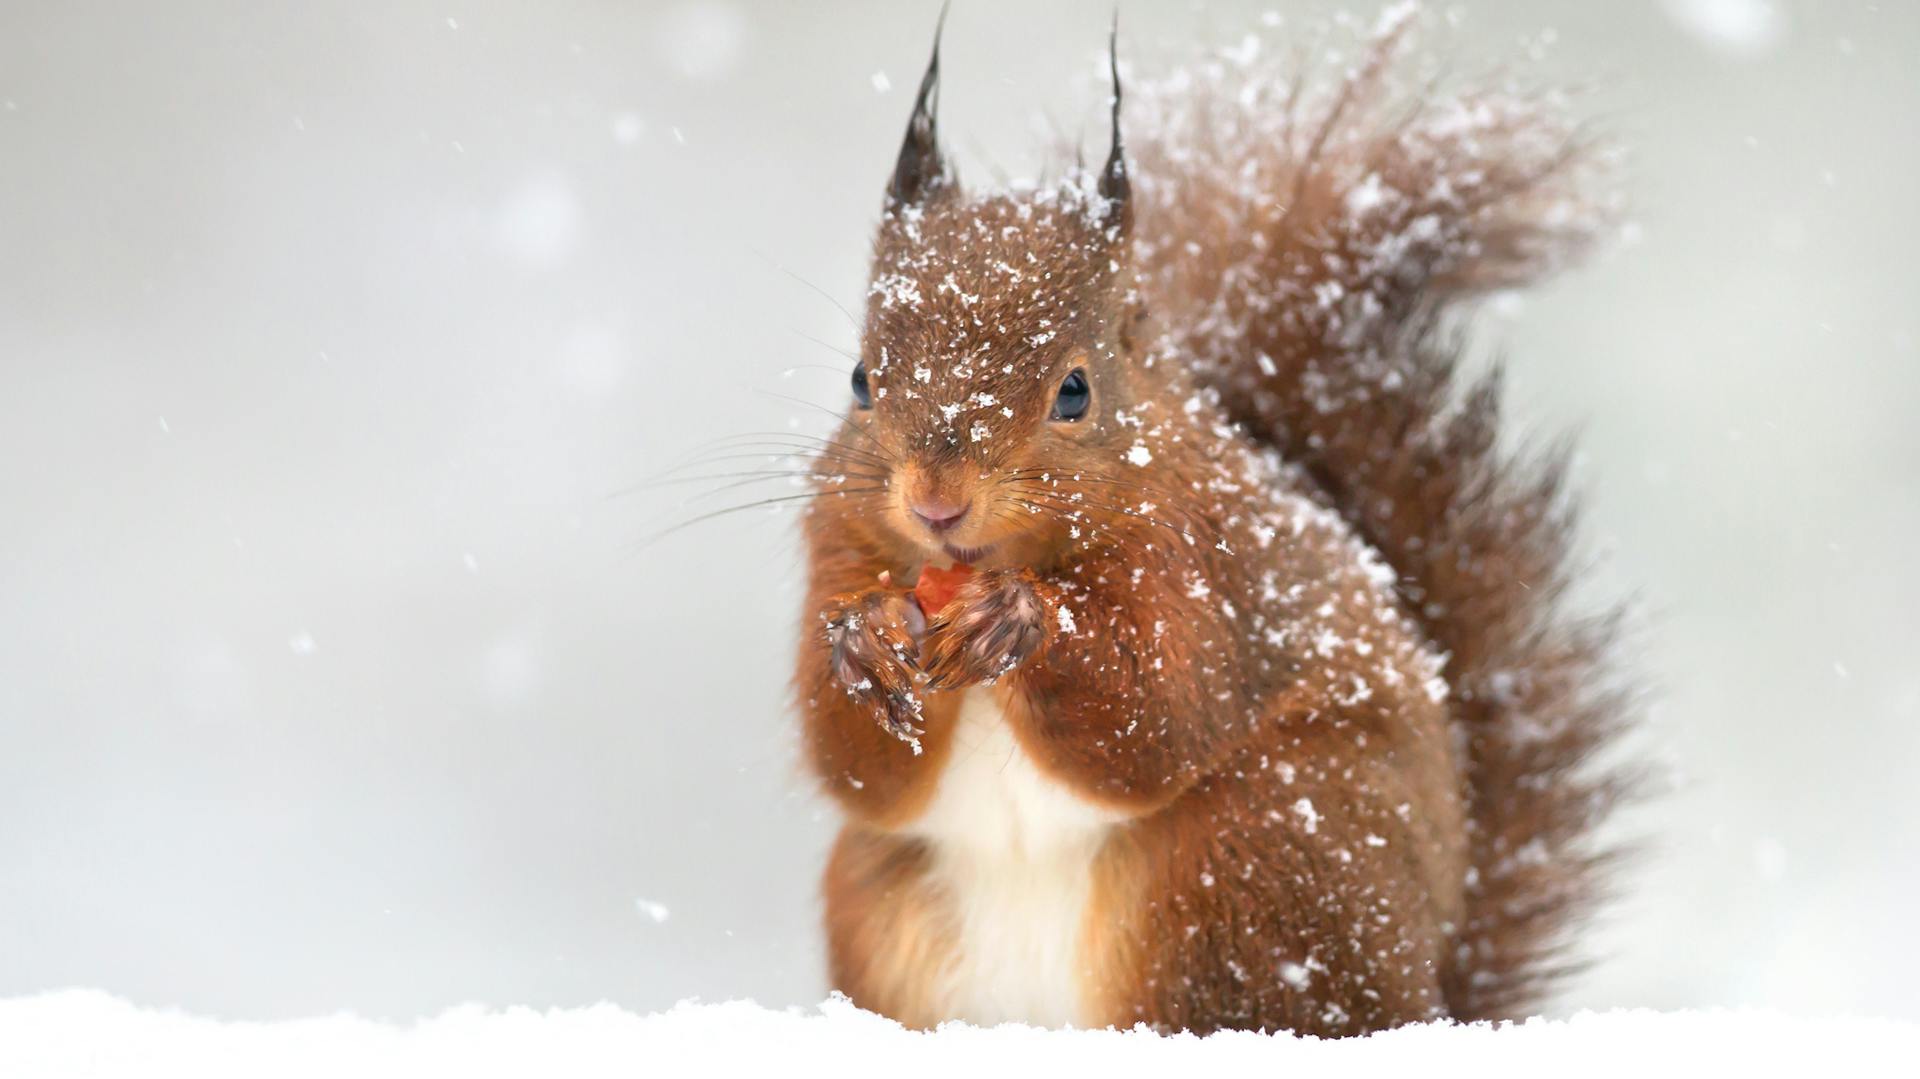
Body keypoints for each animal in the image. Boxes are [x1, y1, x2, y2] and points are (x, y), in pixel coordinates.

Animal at [787, 8, 1631, 1036]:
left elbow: (1158, 713)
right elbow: (856, 766)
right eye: (861, 380)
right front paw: (865, 640)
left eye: (1075, 390)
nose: (935, 501)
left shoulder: (1202, 563)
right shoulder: (837, 545)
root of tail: (1429, 992)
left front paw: (1020, 620)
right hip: (886, 906)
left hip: (1244, 868)